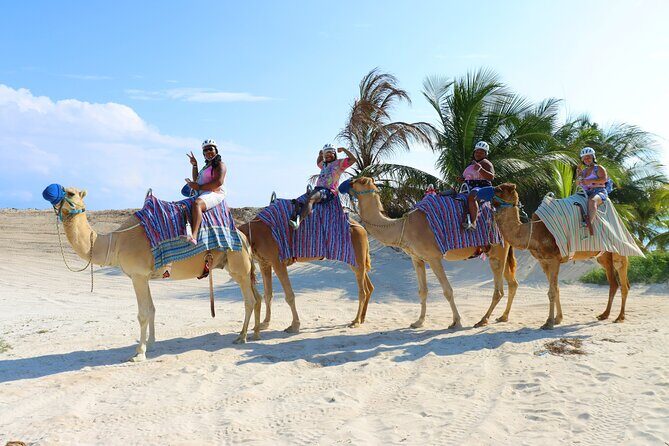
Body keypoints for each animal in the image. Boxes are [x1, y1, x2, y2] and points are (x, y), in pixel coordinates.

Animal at [51, 186, 261, 362]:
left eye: (70, 193)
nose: (51, 195)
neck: (116, 242)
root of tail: (244, 237)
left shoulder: (138, 275)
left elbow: (143, 314)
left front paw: (139, 353)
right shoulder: (144, 277)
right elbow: (152, 309)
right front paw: (150, 344)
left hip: (239, 267)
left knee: (249, 300)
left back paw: (241, 336)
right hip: (241, 269)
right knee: (257, 297)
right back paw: (255, 332)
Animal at [238, 217, 373, 333]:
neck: (253, 233)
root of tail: (363, 229)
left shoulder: (278, 262)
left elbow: (289, 296)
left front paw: (294, 326)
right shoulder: (264, 263)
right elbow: (268, 294)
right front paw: (265, 323)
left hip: (357, 251)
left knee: (362, 290)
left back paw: (356, 321)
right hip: (355, 259)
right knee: (368, 285)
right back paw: (362, 318)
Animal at [347, 177, 518, 328]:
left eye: (360, 181)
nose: (348, 182)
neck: (404, 226)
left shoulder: (434, 258)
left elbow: (448, 291)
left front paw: (456, 322)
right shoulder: (417, 259)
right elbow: (422, 291)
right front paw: (418, 322)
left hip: (498, 250)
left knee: (499, 290)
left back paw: (483, 320)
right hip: (498, 252)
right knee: (512, 284)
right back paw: (503, 317)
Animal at [492, 183, 630, 329]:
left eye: (499, 189)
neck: (533, 233)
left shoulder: (554, 259)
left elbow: (552, 291)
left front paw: (549, 322)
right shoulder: (543, 261)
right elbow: (556, 289)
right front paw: (557, 319)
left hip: (619, 249)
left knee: (623, 282)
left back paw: (620, 317)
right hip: (603, 256)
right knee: (613, 283)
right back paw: (604, 315)